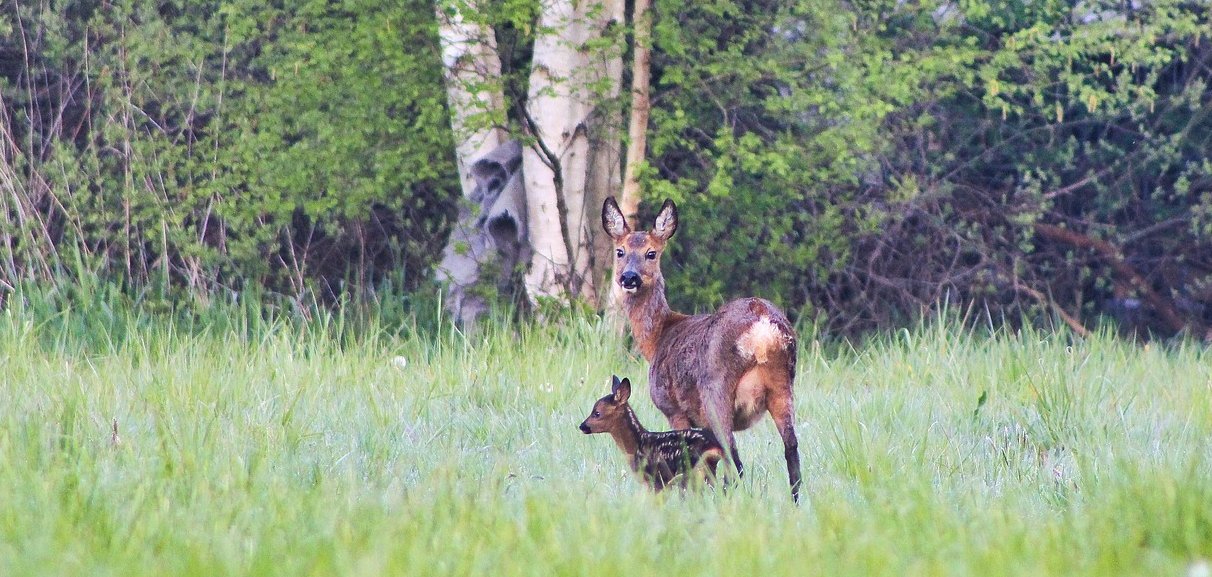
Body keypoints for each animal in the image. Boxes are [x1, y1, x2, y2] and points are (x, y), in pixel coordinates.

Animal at [579, 375, 726, 491]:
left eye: (597, 413)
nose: (582, 426)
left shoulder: (656, 480)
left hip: (692, 471)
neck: (636, 445)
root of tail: (716, 446)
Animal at [601, 196, 802, 502]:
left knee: (735, 460)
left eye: (651, 253)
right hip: (783, 386)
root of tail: (763, 328)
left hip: (716, 391)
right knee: (792, 453)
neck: (658, 338)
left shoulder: (673, 408)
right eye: (620, 251)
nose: (629, 277)